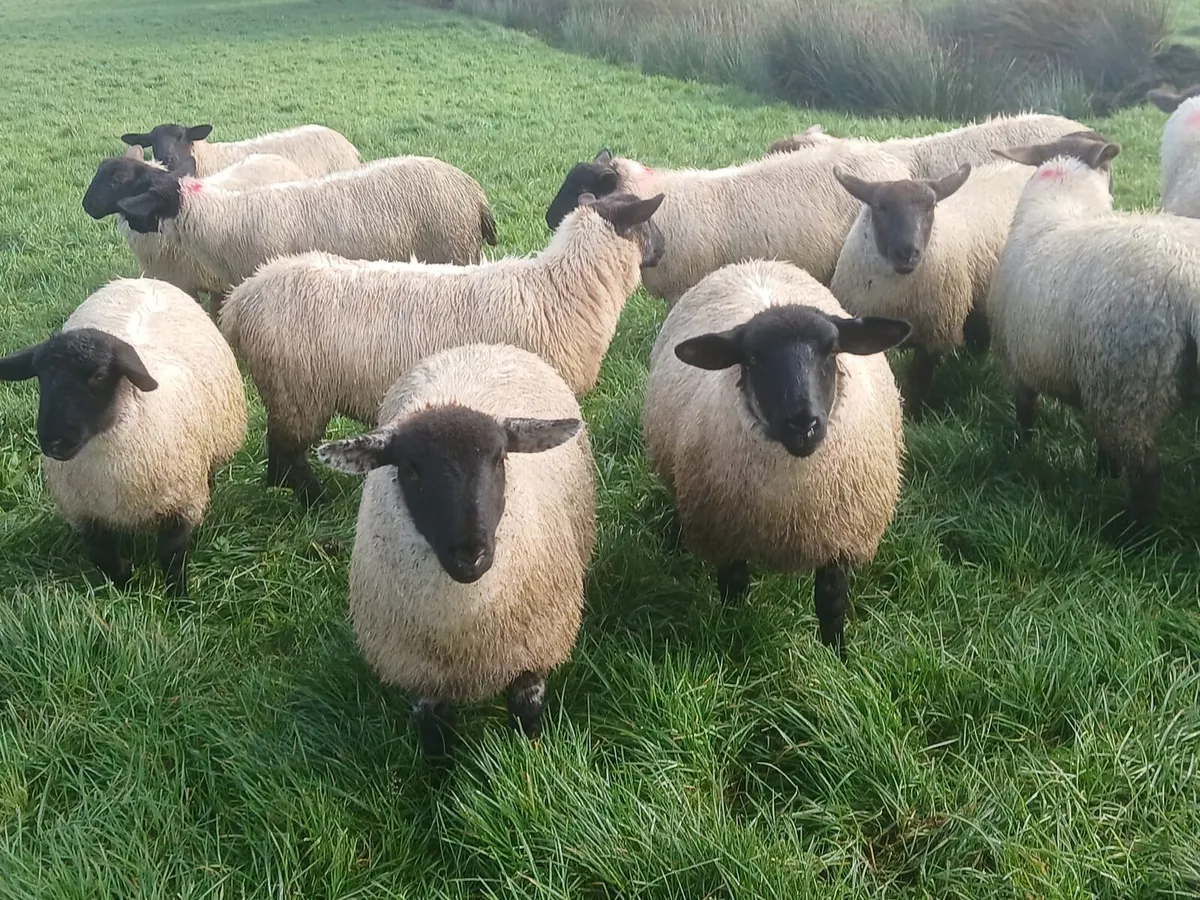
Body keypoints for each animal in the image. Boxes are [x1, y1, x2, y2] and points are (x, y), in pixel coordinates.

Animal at [0, 278, 247, 596]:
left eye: (99, 375)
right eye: (41, 376)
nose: (54, 443)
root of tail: (142, 280)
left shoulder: (181, 502)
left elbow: (171, 554)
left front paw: (178, 597)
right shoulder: (84, 513)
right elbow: (103, 556)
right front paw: (124, 586)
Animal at [219, 190, 664, 505]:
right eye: (650, 223)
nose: (663, 250)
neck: (560, 290)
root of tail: (239, 300)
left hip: (286, 389)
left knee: (277, 449)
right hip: (299, 389)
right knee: (289, 450)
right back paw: (313, 499)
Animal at [315, 342, 595, 757]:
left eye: (500, 459)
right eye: (410, 469)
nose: (471, 555)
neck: (464, 628)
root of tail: (478, 345)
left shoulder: (531, 652)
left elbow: (526, 715)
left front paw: (530, 755)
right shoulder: (421, 673)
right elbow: (434, 737)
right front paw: (437, 773)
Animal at [642, 259, 911, 657]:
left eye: (832, 351)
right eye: (753, 358)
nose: (803, 423)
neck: (790, 505)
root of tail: (756, 262)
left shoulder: (839, 538)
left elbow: (831, 603)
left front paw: (836, 655)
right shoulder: (729, 535)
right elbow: (735, 589)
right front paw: (734, 631)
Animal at [984, 134, 1200, 532]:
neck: (1062, 200)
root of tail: (1190, 282)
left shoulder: (1021, 365)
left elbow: (1026, 417)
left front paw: (1022, 450)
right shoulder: (1084, 379)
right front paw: (1105, 473)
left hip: (1127, 387)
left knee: (1147, 474)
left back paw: (1130, 534)